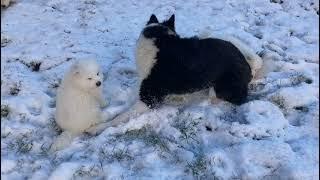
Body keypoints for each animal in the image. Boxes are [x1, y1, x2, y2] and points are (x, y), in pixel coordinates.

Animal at [108, 14, 262, 126]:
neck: (161, 41)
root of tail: (248, 66)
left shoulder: (149, 99)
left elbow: (119, 118)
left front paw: (102, 126)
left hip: (218, 88)